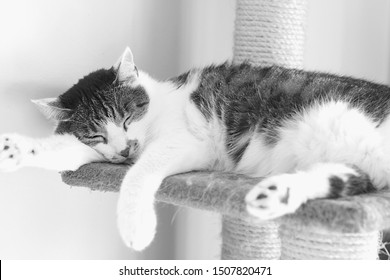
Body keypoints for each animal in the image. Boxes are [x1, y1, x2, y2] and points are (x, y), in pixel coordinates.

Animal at [0, 47, 390, 250]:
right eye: (96, 134)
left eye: (126, 118)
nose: (124, 149)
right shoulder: (100, 153)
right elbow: (65, 149)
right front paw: (17, 149)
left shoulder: (192, 143)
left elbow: (140, 172)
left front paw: (135, 226)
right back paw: (273, 194)